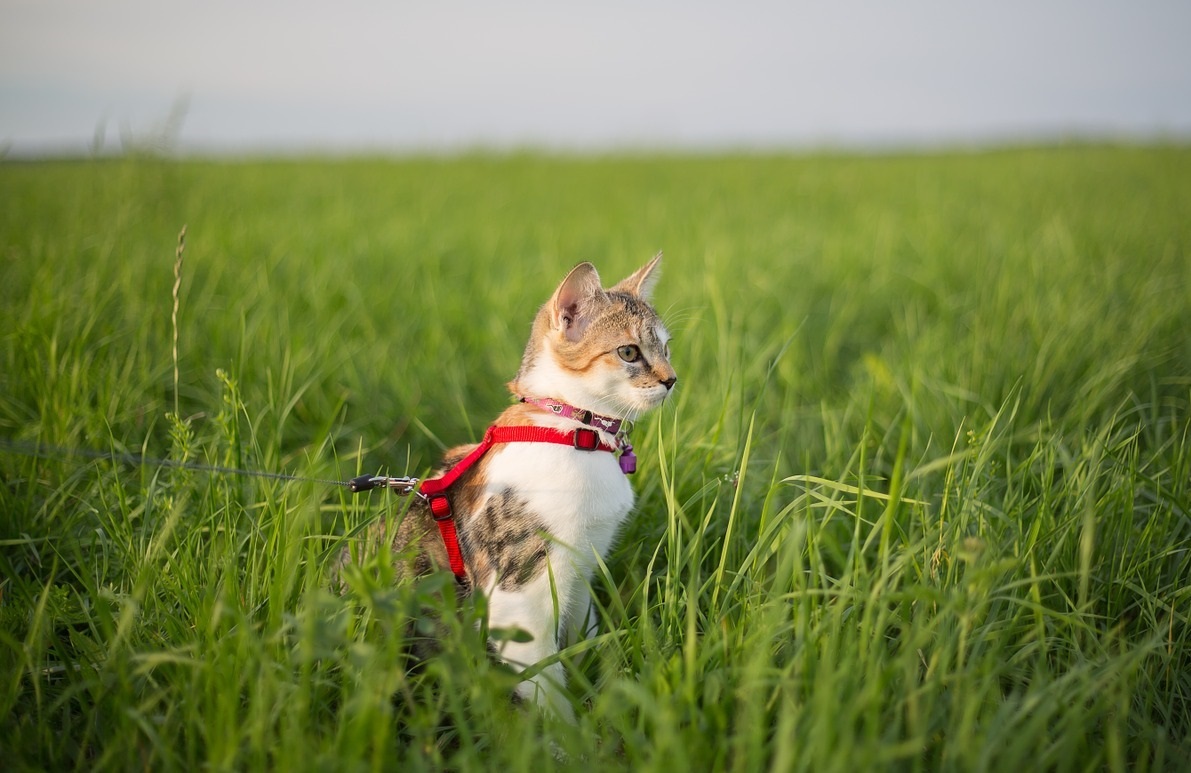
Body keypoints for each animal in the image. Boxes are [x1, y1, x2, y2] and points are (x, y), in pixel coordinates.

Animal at [335, 251, 676, 719]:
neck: (571, 430)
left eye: (666, 347)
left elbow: (582, 636)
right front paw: (568, 733)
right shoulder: (520, 594)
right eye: (629, 352)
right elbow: (544, 681)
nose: (671, 379)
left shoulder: (582, 569)